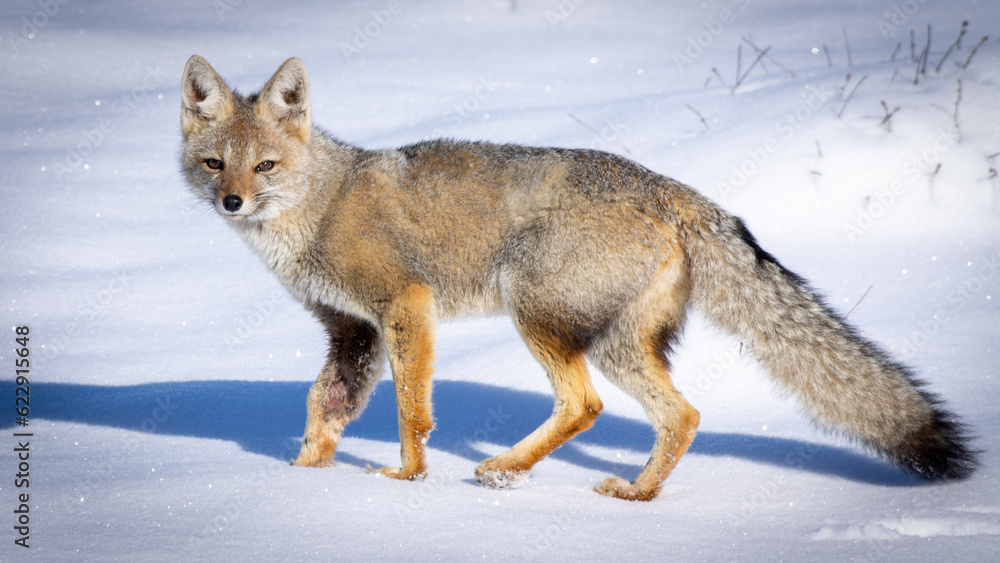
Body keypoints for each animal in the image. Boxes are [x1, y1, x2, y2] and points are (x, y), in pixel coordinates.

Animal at [179, 55, 977, 501]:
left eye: (265, 166)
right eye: (216, 163)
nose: (231, 203)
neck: (320, 205)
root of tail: (673, 187)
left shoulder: (405, 304)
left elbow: (411, 412)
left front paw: (406, 482)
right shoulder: (352, 331)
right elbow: (324, 409)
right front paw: (300, 476)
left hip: (534, 312)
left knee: (585, 404)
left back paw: (504, 470)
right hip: (621, 345)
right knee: (682, 416)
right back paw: (635, 496)